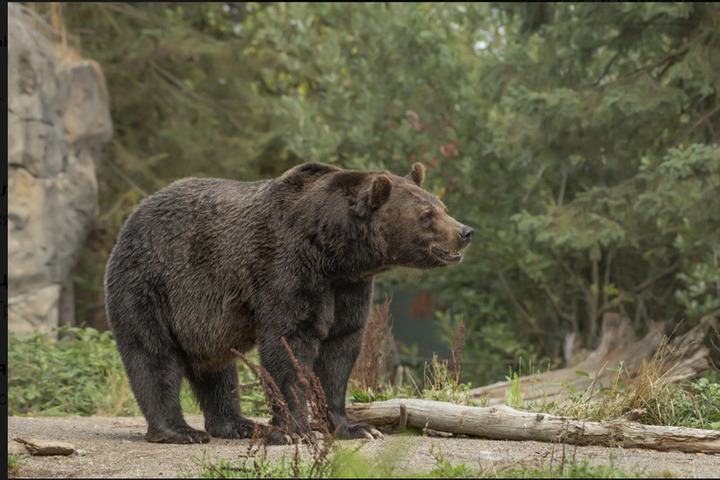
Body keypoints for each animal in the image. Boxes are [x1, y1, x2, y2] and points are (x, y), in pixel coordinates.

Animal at [104, 162, 473, 444]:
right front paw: (295, 430)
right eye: (426, 214)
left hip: (204, 319)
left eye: (442, 207)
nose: (465, 232)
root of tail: (132, 216)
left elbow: (340, 349)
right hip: (151, 284)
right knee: (153, 355)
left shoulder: (348, 287)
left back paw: (238, 424)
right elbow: (289, 344)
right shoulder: (288, 267)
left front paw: (355, 427)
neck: (334, 251)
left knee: (218, 369)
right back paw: (179, 431)